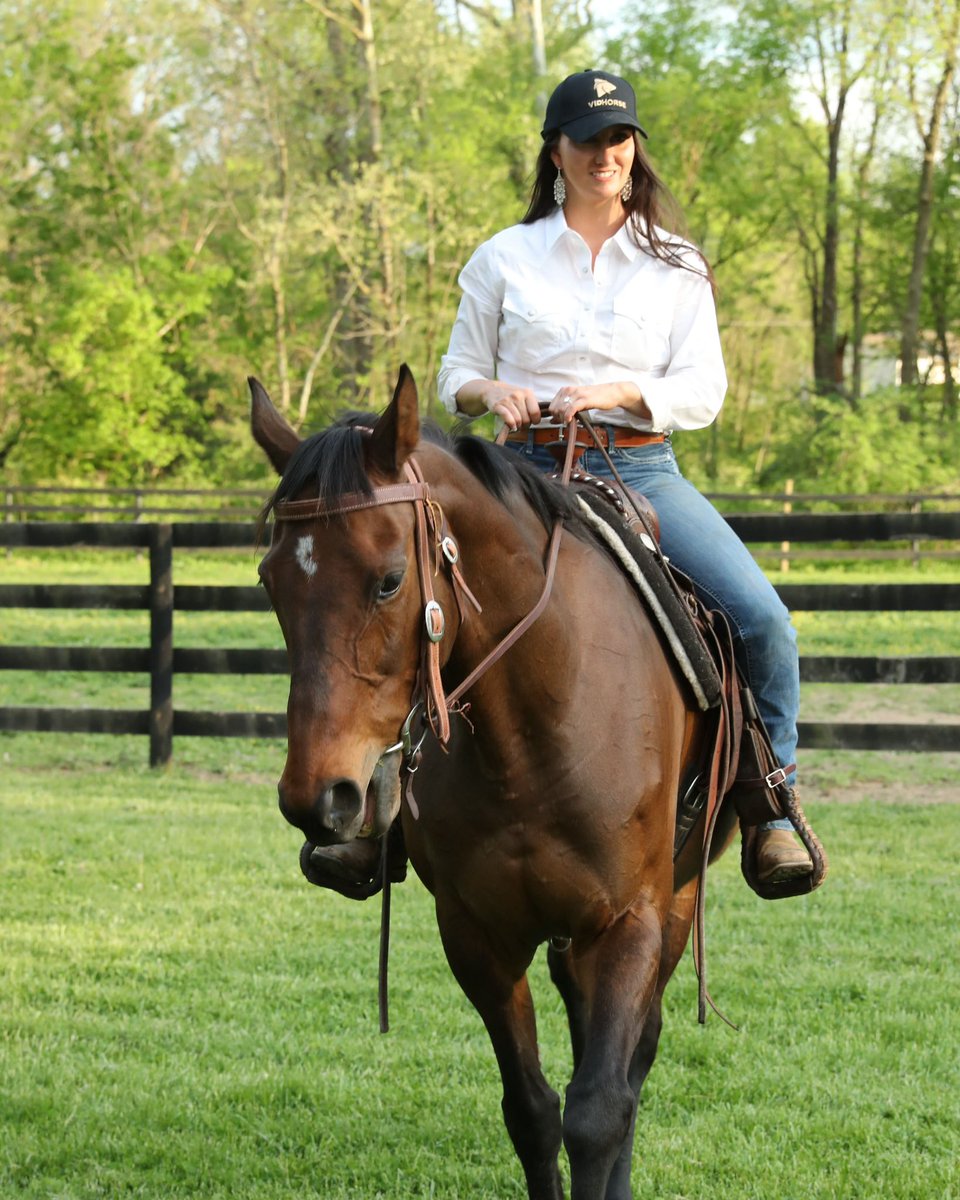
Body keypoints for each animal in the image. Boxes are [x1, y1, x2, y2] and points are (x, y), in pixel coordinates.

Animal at [249, 364, 734, 1200]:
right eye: (270, 582)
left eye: (389, 581)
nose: (319, 797)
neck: (536, 731)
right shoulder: (477, 935)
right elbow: (533, 1112)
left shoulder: (630, 920)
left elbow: (600, 1108)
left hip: (677, 897)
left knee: (635, 1059)